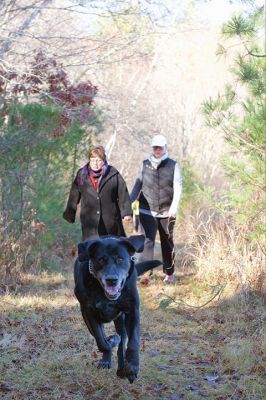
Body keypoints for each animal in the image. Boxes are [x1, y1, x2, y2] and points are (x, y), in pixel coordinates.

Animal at [73, 236, 160, 382]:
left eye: (120, 259)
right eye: (100, 260)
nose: (111, 280)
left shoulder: (132, 310)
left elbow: (133, 341)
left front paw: (132, 367)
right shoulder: (89, 312)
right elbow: (102, 341)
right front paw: (111, 341)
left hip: (120, 318)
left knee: (124, 337)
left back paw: (122, 366)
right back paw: (108, 358)